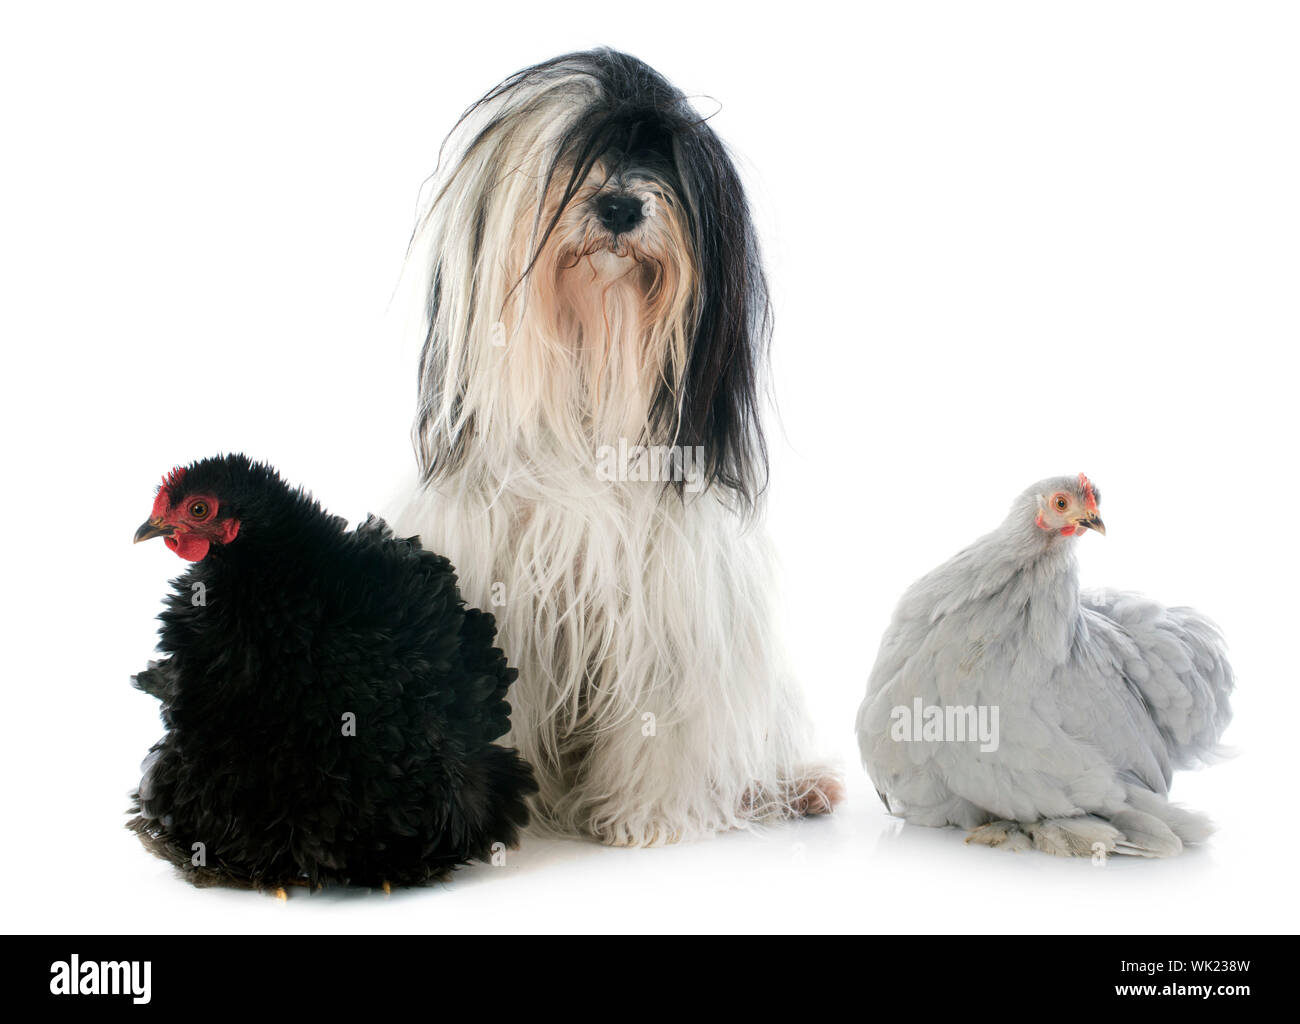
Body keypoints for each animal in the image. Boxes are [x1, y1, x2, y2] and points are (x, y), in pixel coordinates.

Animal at [392, 48, 842, 842]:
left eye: (664, 159)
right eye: (579, 156)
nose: (621, 207)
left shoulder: (672, 603)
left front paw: (647, 819)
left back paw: (794, 786)